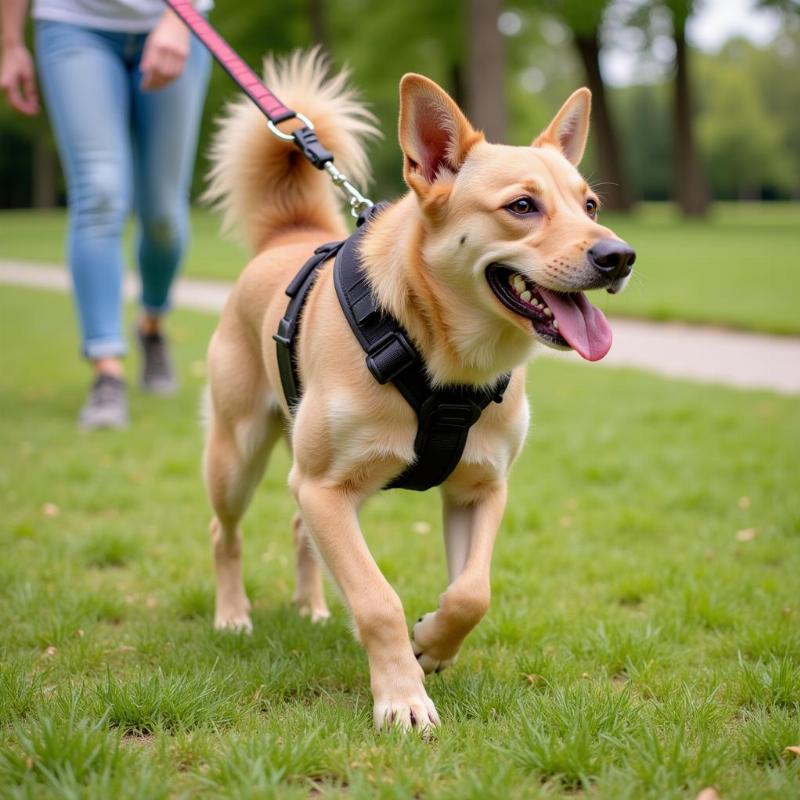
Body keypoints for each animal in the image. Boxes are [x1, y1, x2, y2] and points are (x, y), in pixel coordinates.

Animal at [203, 51, 636, 732]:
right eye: (522, 206)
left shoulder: (480, 487)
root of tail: (287, 236)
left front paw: (431, 642)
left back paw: (313, 608)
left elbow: (473, 593)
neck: (445, 363)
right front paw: (402, 698)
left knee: (300, 531)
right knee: (226, 533)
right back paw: (233, 616)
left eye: (590, 204)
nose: (620, 256)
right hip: (239, 453)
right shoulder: (324, 488)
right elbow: (377, 599)